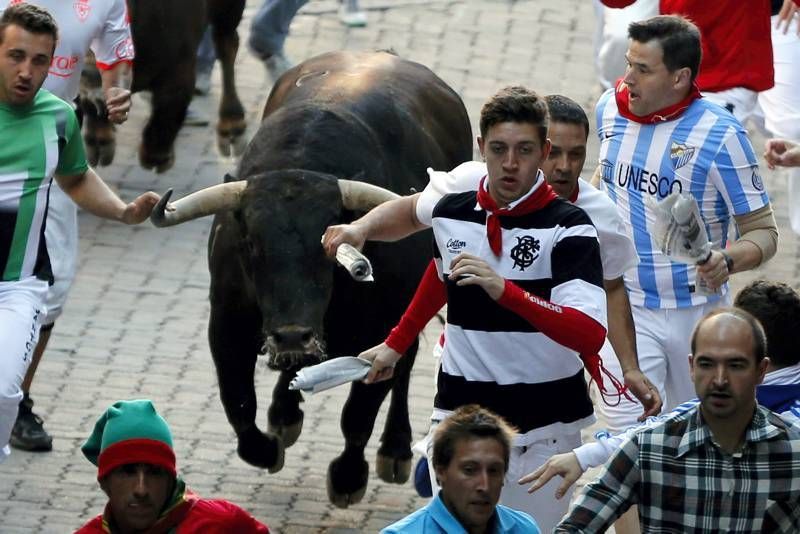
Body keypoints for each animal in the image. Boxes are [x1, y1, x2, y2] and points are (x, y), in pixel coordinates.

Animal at [152, 50, 468, 506]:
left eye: (329, 248)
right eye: (250, 244)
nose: (291, 335)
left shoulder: (386, 324)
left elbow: (359, 412)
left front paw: (348, 478)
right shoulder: (227, 320)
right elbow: (238, 403)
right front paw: (269, 444)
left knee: (404, 367)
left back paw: (393, 450)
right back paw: (285, 413)